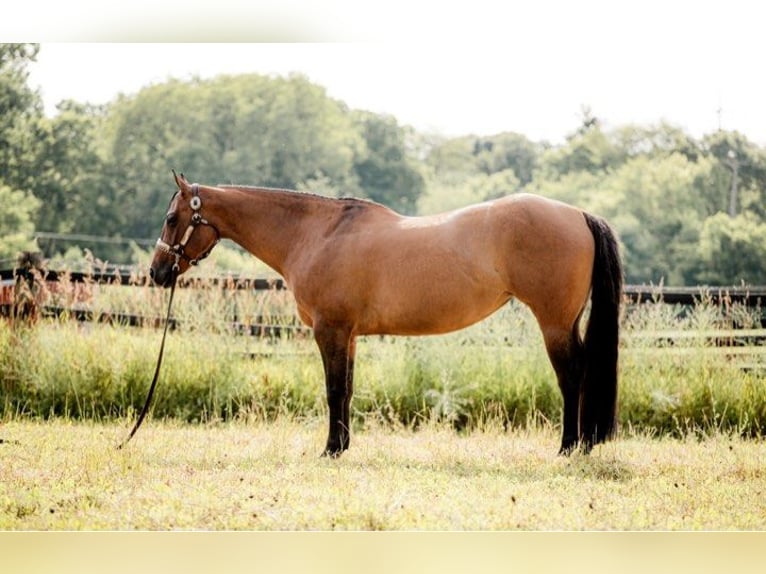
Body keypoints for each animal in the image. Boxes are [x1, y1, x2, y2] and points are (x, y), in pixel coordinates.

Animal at [150, 172, 624, 460]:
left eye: (172, 218)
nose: (157, 272)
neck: (316, 234)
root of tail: (578, 215)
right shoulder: (349, 335)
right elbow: (347, 389)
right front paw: (342, 446)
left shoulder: (330, 330)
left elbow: (333, 391)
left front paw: (330, 450)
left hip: (554, 323)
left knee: (572, 376)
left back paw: (570, 447)